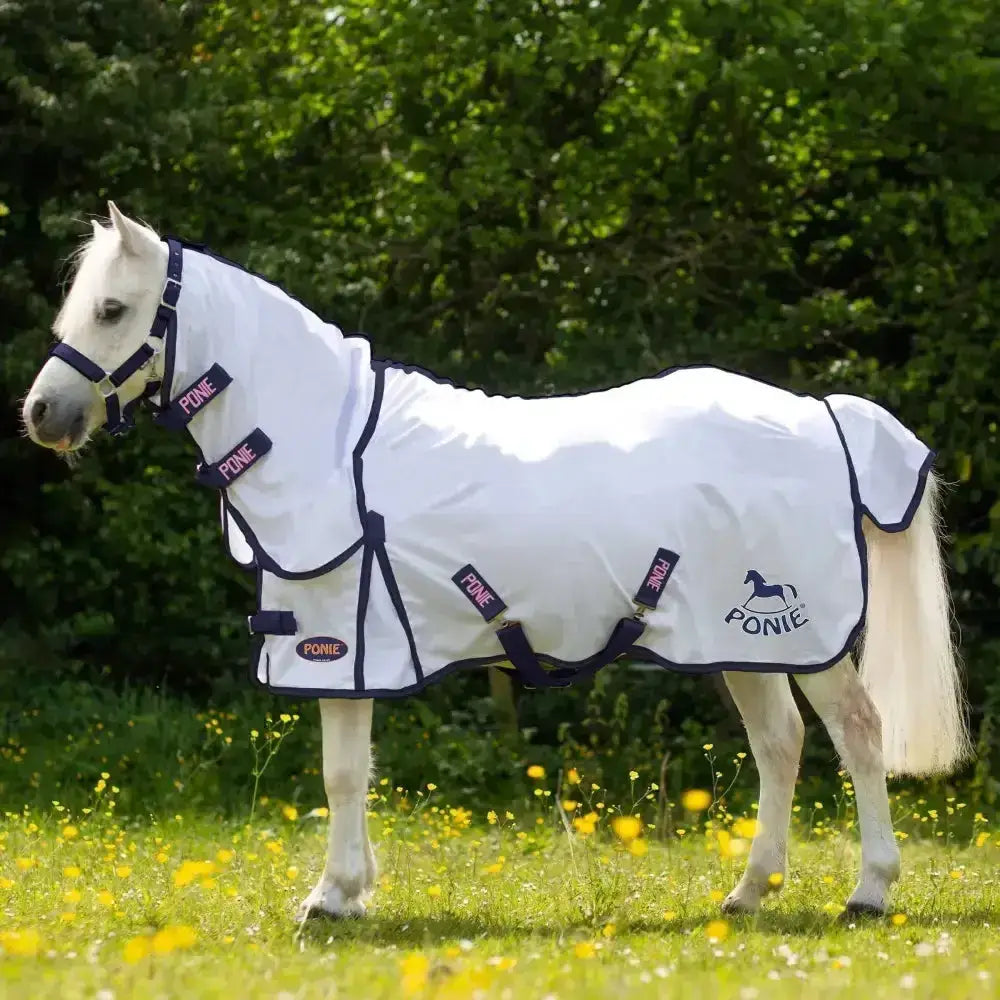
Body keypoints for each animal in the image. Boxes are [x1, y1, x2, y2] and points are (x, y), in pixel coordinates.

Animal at [22, 203, 971, 922]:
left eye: (113, 310)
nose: (41, 414)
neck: (330, 446)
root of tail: (821, 416)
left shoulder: (341, 644)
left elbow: (340, 771)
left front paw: (331, 899)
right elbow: (353, 771)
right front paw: (352, 892)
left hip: (802, 636)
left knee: (858, 732)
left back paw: (869, 893)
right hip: (743, 643)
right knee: (780, 743)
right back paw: (746, 894)